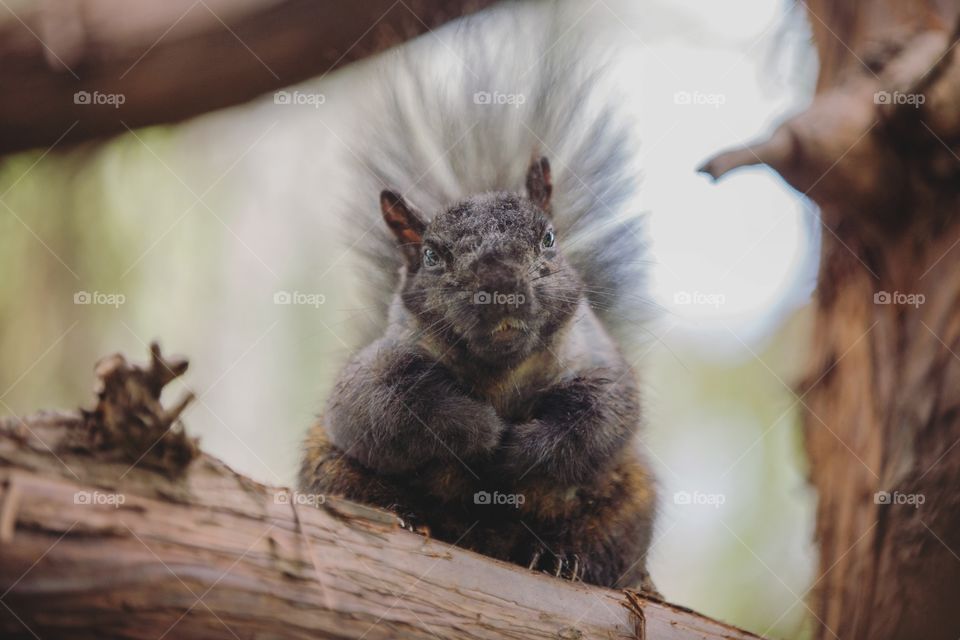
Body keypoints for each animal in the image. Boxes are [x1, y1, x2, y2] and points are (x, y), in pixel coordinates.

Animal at [299, 4, 658, 593]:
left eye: (549, 239)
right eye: (431, 256)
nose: (501, 287)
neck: (499, 372)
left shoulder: (597, 361)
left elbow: (600, 416)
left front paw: (523, 446)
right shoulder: (374, 371)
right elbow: (383, 408)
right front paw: (480, 430)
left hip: (631, 494)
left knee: (612, 538)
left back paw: (569, 558)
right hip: (326, 464)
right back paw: (401, 515)